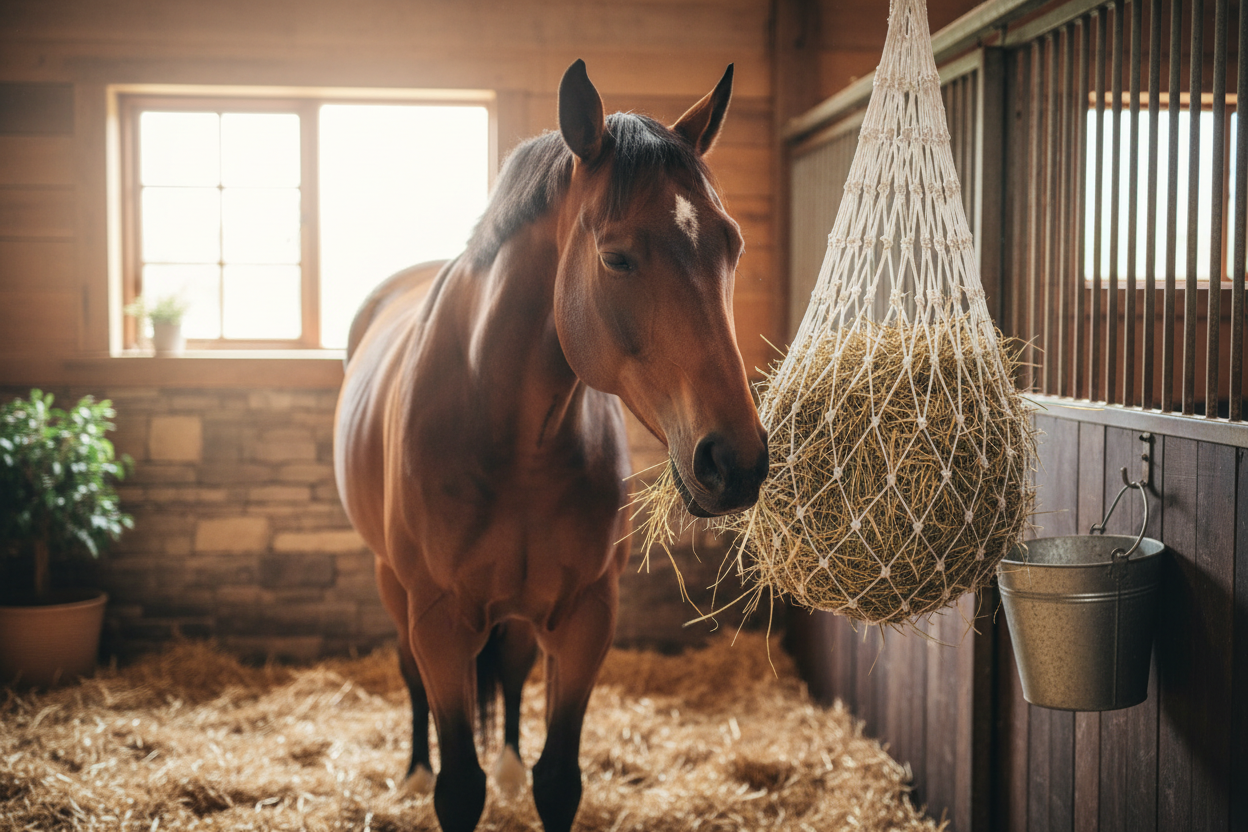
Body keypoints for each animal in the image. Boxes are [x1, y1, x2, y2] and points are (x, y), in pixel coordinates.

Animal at [333, 59, 768, 832]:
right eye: (616, 257)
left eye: (732, 244)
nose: (736, 462)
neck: (513, 441)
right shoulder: (439, 621)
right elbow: (459, 784)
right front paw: (437, 777)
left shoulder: (587, 615)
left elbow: (558, 777)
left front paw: (519, 775)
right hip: (393, 583)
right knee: (411, 673)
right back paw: (412, 770)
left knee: (508, 671)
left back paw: (504, 764)